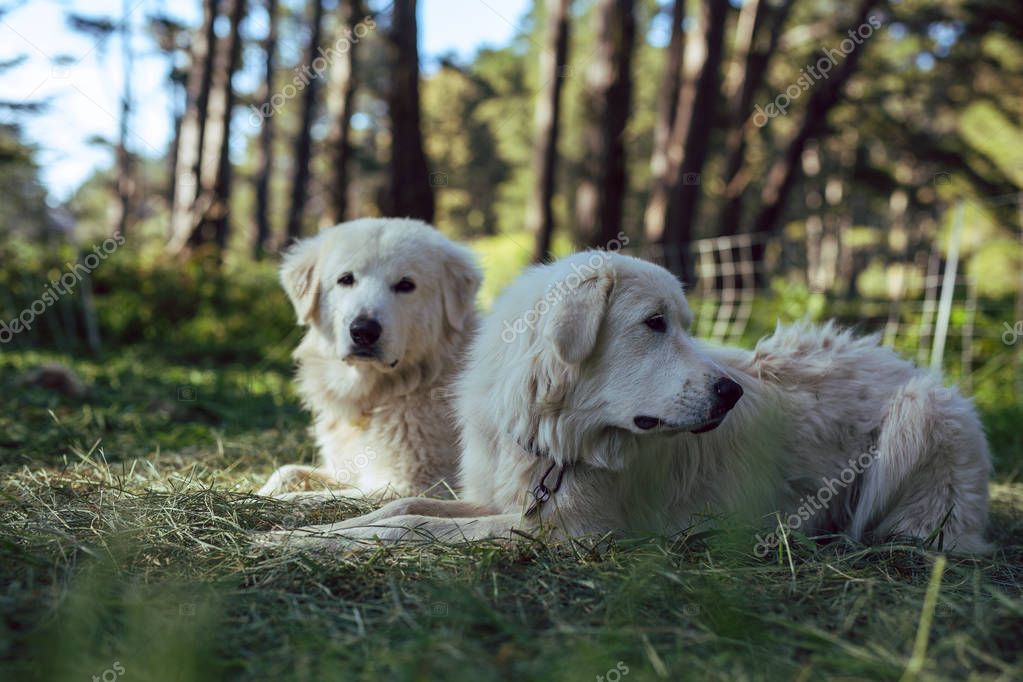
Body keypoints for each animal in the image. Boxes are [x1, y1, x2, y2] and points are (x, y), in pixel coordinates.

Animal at [255, 218, 478, 501]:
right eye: (346, 279)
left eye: (406, 285)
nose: (364, 331)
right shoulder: (343, 470)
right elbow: (286, 471)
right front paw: (259, 492)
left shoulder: (412, 487)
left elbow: (310, 497)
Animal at [265, 250, 990, 556]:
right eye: (654, 324)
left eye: (684, 324)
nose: (732, 393)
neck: (558, 440)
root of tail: (914, 370)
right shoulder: (508, 499)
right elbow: (403, 508)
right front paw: (298, 534)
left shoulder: (568, 532)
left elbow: (413, 526)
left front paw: (306, 541)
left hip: (918, 417)